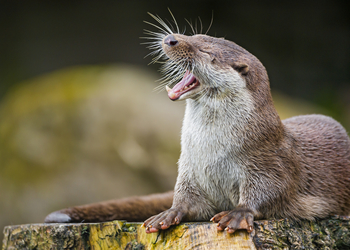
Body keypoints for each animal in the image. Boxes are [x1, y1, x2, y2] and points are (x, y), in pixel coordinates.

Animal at [45, 14, 350, 234]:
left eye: (204, 50)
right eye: (196, 35)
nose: (171, 38)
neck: (212, 151)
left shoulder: (268, 160)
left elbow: (270, 191)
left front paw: (237, 214)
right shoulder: (190, 168)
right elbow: (187, 200)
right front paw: (169, 213)